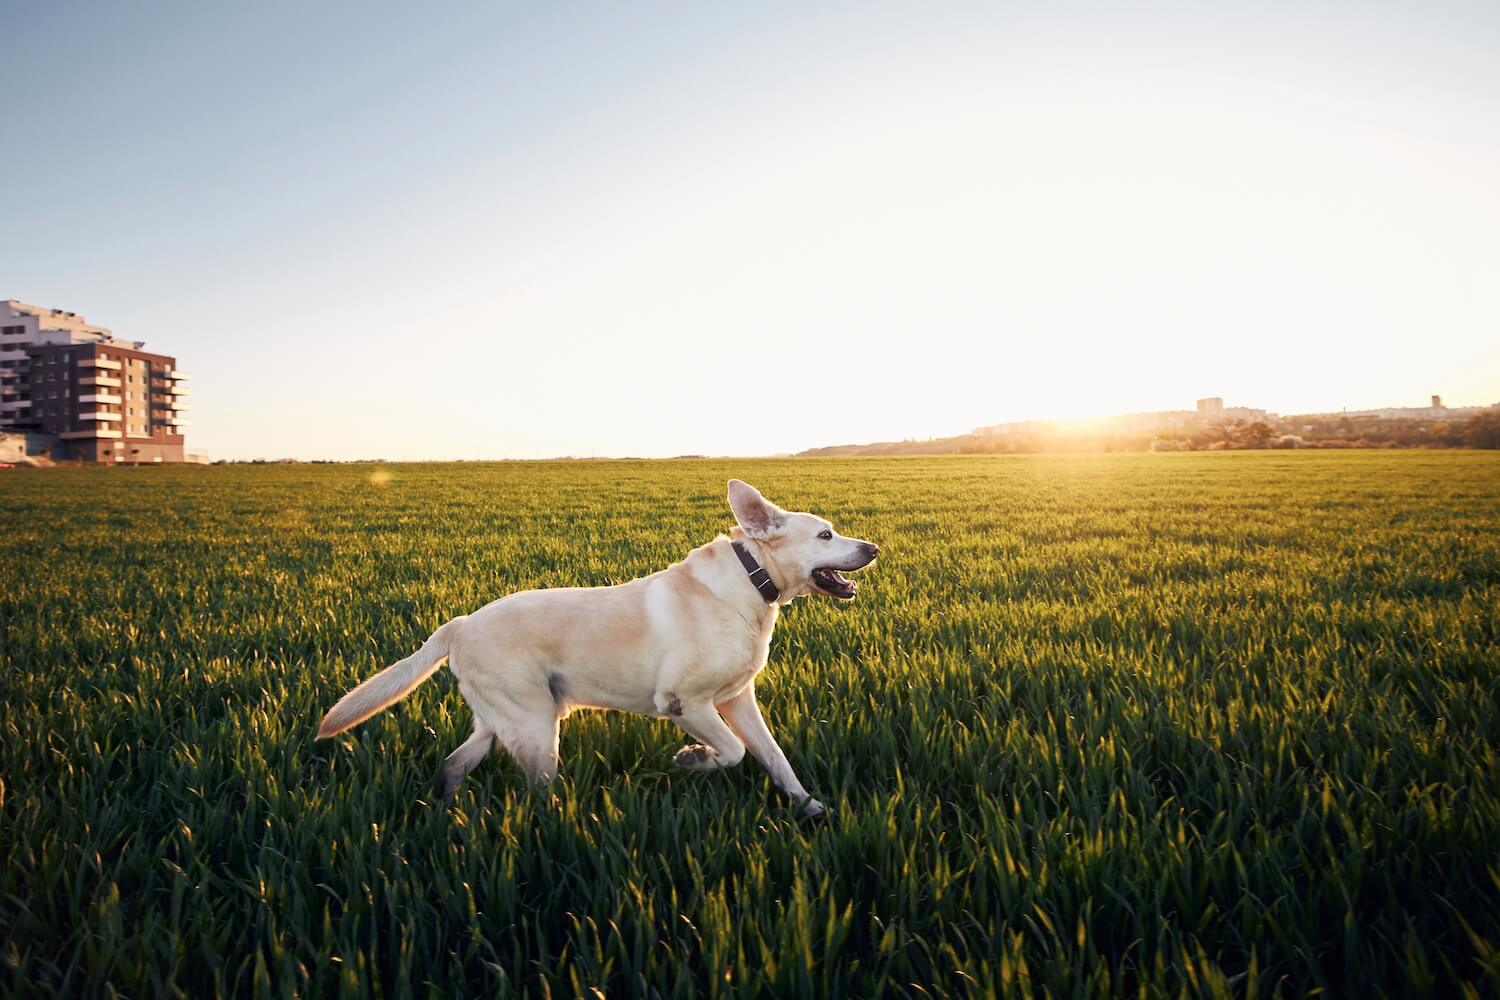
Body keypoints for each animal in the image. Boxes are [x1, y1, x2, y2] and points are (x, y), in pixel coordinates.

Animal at [316, 479, 876, 815]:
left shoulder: (739, 700)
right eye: (826, 535)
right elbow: (734, 752)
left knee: (454, 763)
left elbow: (775, 758)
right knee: (535, 793)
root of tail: (458, 624)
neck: (753, 582)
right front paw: (693, 758)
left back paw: (448, 815)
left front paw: (809, 807)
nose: (873, 547)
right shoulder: (686, 702)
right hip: (536, 728)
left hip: (502, 721)